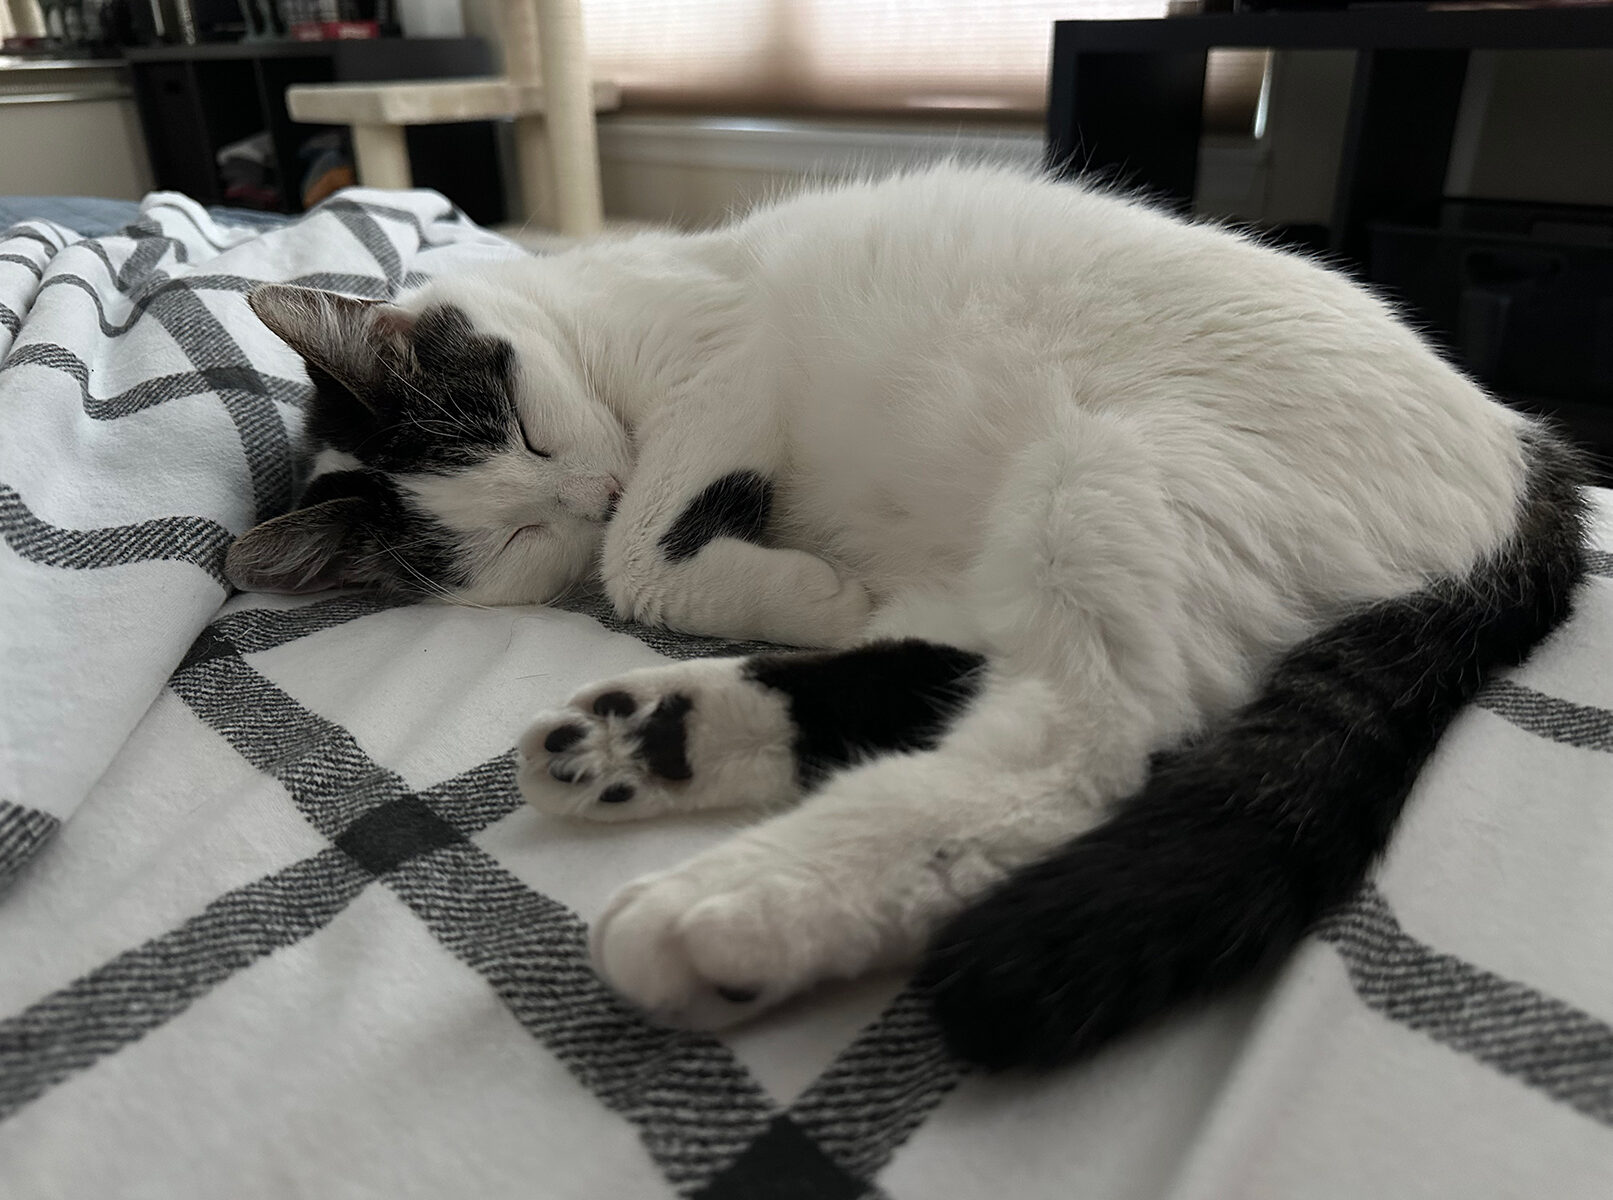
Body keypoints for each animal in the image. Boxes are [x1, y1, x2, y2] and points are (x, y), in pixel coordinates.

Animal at [227, 162, 1587, 1070]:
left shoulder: (722, 356)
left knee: (1069, 755)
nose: (589, 487)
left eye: (525, 430)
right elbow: (638, 562)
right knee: (951, 672)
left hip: (1106, 483)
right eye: (508, 533)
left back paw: (728, 906)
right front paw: (786, 589)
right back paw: (645, 743)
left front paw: (754, 569)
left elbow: (635, 560)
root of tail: (1528, 455)